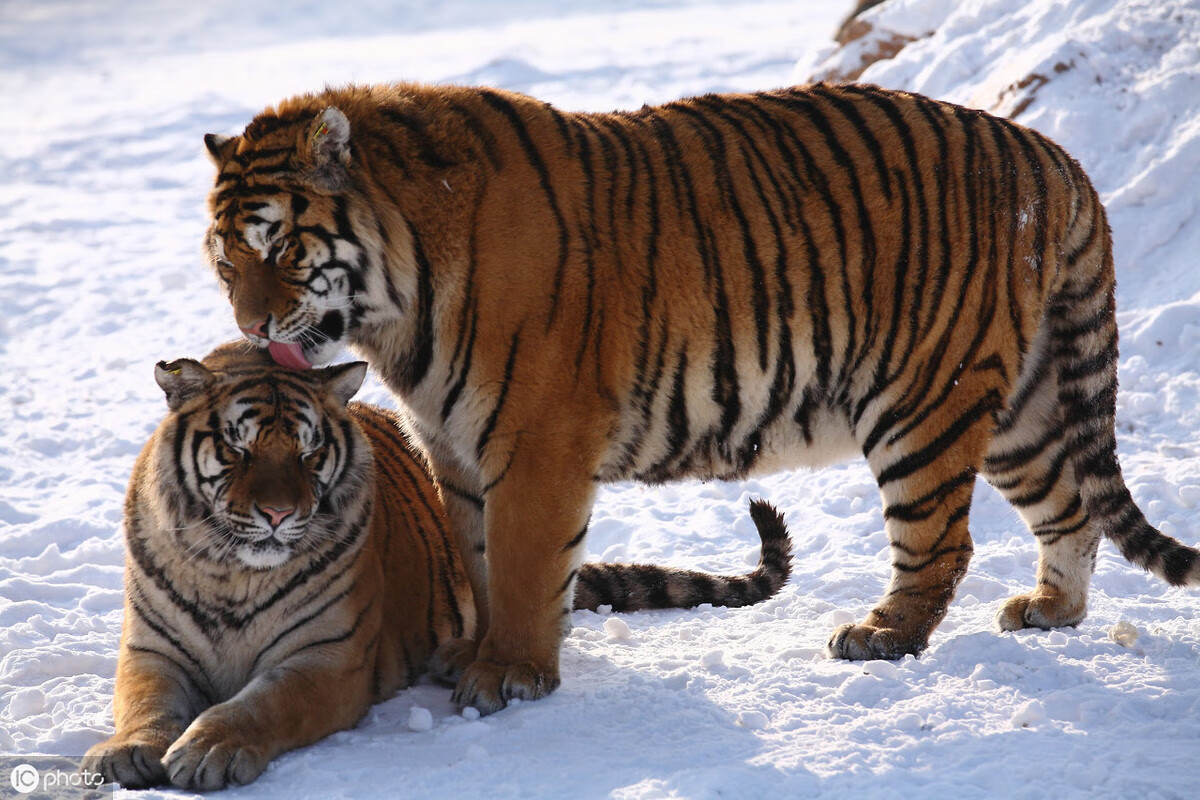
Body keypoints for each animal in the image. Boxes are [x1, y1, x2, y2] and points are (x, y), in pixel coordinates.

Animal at [87, 343, 796, 786]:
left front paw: (210, 748)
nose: (280, 514)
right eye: (238, 451)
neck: (231, 571)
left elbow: (260, 706)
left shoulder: (327, 659)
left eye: (310, 454)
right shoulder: (152, 651)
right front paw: (127, 752)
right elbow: (144, 703)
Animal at [201, 81, 1200, 714]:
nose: (250, 325)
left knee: (942, 542)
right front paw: (470, 653)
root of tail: (1049, 153)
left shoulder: (535, 438)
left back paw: (881, 635)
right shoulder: (454, 444)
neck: (395, 305)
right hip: (1017, 408)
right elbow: (476, 561)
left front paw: (509, 675)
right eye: (225, 259)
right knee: (1070, 507)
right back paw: (1051, 612)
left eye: (281, 248)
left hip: (926, 399)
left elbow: (521, 566)